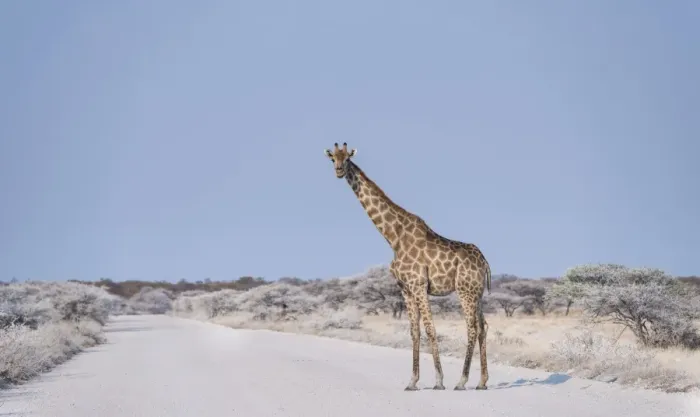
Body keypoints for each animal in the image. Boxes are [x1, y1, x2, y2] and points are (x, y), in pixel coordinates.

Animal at [324, 142, 492, 391]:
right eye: (332, 158)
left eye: (347, 159)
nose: (338, 171)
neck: (393, 237)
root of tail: (485, 261)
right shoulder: (405, 288)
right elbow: (414, 331)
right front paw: (412, 381)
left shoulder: (418, 284)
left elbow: (430, 328)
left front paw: (439, 381)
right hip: (477, 293)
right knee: (483, 327)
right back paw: (482, 382)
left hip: (465, 290)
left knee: (471, 328)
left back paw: (461, 381)